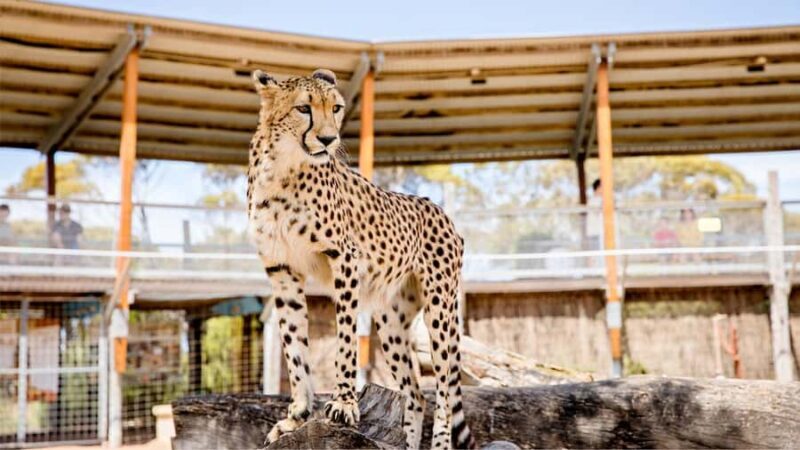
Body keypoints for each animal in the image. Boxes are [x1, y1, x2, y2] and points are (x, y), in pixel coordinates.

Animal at [247, 67, 473, 449]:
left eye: (336, 108)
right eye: (304, 109)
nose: (328, 139)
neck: (281, 167)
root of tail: (437, 208)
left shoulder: (345, 259)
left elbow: (346, 340)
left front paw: (343, 404)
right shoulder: (282, 269)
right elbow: (295, 349)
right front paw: (297, 416)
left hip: (440, 309)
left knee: (444, 390)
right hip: (391, 318)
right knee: (416, 393)